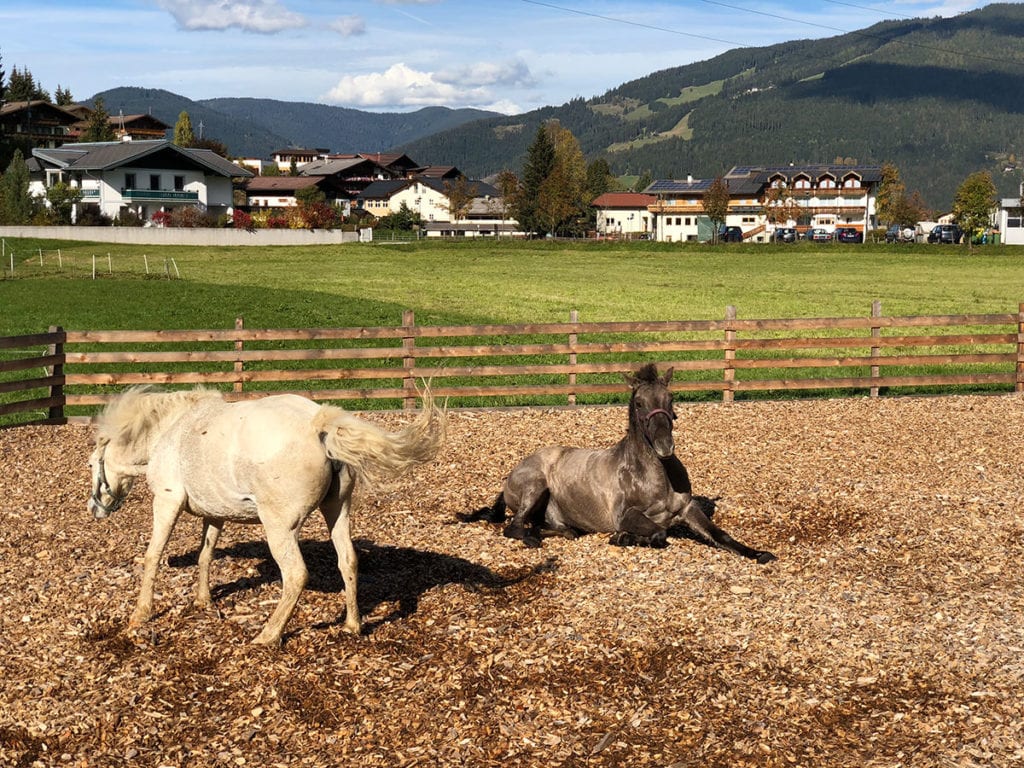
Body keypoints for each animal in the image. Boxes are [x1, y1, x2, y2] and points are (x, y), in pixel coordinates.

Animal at [93, 387, 448, 647]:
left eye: (91, 464)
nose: (94, 509)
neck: (172, 431)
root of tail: (317, 424)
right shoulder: (215, 515)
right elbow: (206, 555)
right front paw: (204, 601)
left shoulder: (167, 502)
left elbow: (152, 556)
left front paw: (141, 614)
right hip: (337, 510)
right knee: (348, 560)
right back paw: (352, 625)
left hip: (280, 527)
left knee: (296, 575)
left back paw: (267, 636)